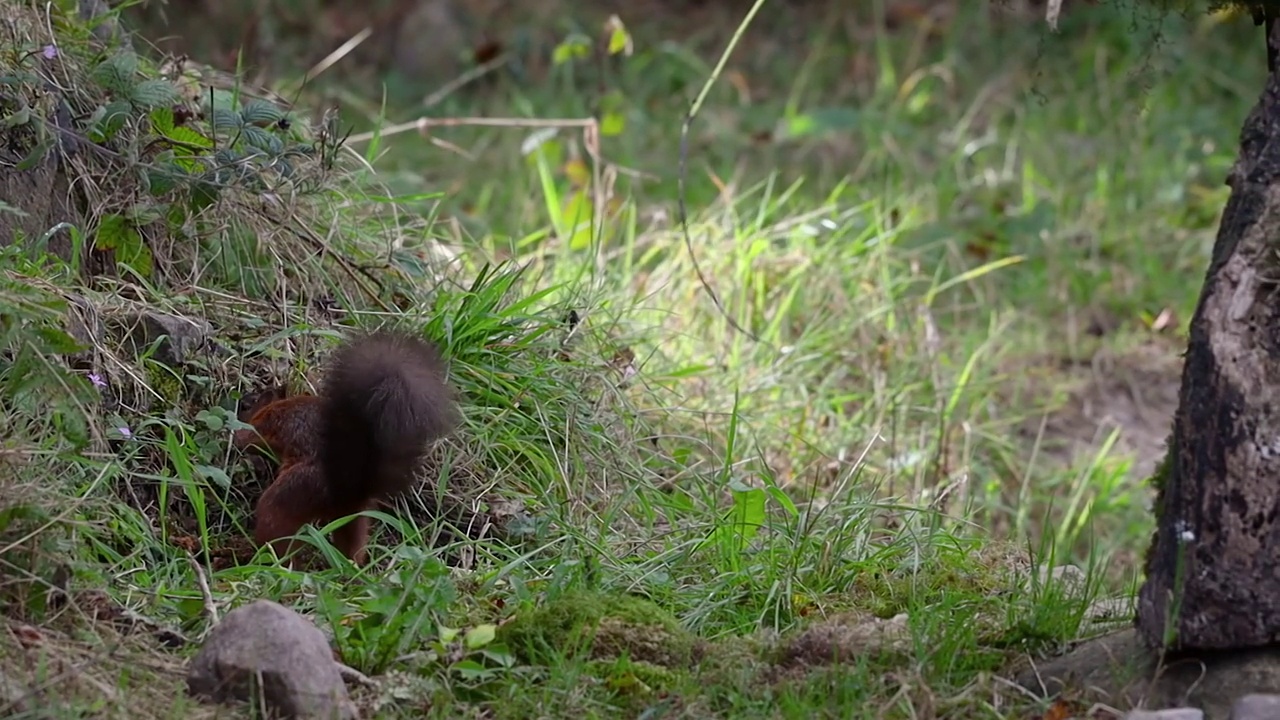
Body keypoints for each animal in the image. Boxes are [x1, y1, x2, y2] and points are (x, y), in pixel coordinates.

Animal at [231, 327, 460, 563]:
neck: (279, 404)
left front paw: (234, 437)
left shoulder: (266, 423)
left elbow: (248, 439)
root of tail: (352, 487)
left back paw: (269, 558)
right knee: (352, 546)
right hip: (352, 517)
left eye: (246, 405)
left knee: (278, 533)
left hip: (293, 492)